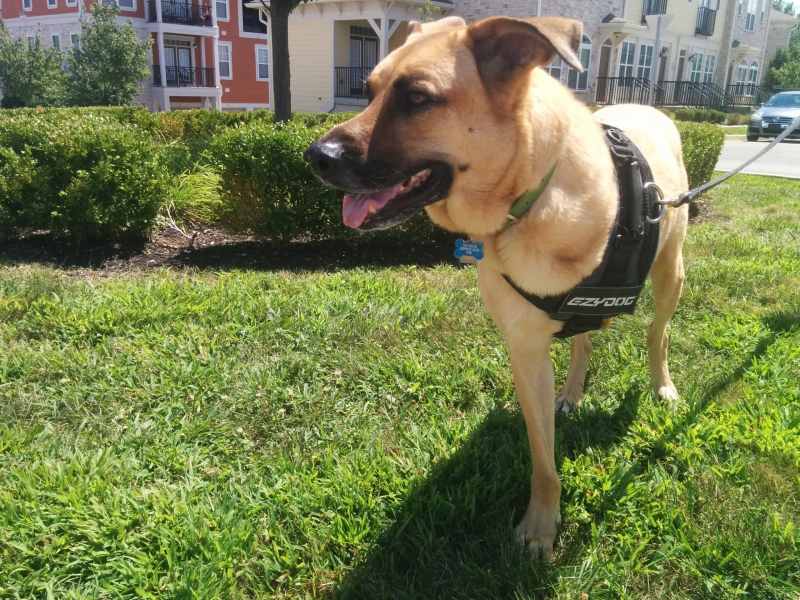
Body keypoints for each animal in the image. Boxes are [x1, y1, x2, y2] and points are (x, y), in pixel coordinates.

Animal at [304, 15, 688, 556]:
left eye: (417, 97)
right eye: (369, 90)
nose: (314, 156)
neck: (530, 193)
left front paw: (541, 528)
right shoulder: (525, 351)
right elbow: (543, 455)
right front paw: (543, 520)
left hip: (671, 273)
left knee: (658, 334)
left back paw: (661, 384)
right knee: (585, 340)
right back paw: (572, 392)